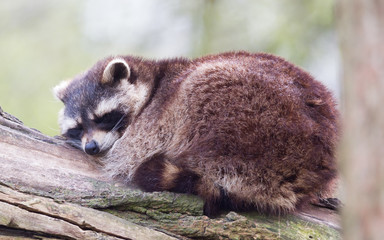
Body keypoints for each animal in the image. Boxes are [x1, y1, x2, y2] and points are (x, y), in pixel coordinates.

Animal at [54, 51, 340, 217]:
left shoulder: (153, 122)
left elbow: (127, 155)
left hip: (248, 117)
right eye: (78, 128)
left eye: (104, 117)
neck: (153, 80)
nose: (91, 147)